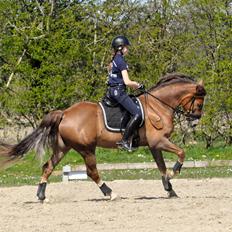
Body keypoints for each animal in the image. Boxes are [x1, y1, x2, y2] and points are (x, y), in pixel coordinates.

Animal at [0, 73, 207, 200]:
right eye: (199, 102)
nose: (195, 121)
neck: (158, 105)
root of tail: (65, 113)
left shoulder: (154, 145)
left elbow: (161, 167)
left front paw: (170, 189)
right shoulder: (159, 141)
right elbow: (181, 153)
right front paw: (174, 173)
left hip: (63, 147)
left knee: (48, 167)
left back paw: (42, 196)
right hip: (86, 149)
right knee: (92, 172)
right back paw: (110, 193)